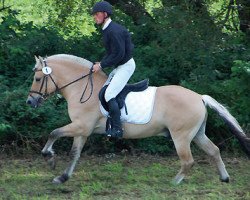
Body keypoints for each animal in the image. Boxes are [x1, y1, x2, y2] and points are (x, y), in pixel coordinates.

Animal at [26, 54, 249, 184]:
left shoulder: (80, 126)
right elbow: (74, 153)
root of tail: (199, 97)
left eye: (37, 78)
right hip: (197, 134)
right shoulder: (83, 130)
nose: (30, 101)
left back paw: (174, 182)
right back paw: (224, 178)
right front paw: (62, 176)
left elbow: (53, 132)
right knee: (214, 151)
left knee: (188, 161)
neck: (82, 88)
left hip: (181, 136)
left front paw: (49, 158)